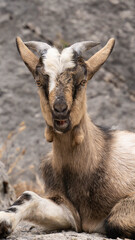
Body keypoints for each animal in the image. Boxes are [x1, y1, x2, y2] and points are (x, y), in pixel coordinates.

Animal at [0, 36, 135, 240]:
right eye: (39, 81)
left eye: (83, 81)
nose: (60, 110)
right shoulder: (70, 213)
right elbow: (28, 195)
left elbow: (115, 220)